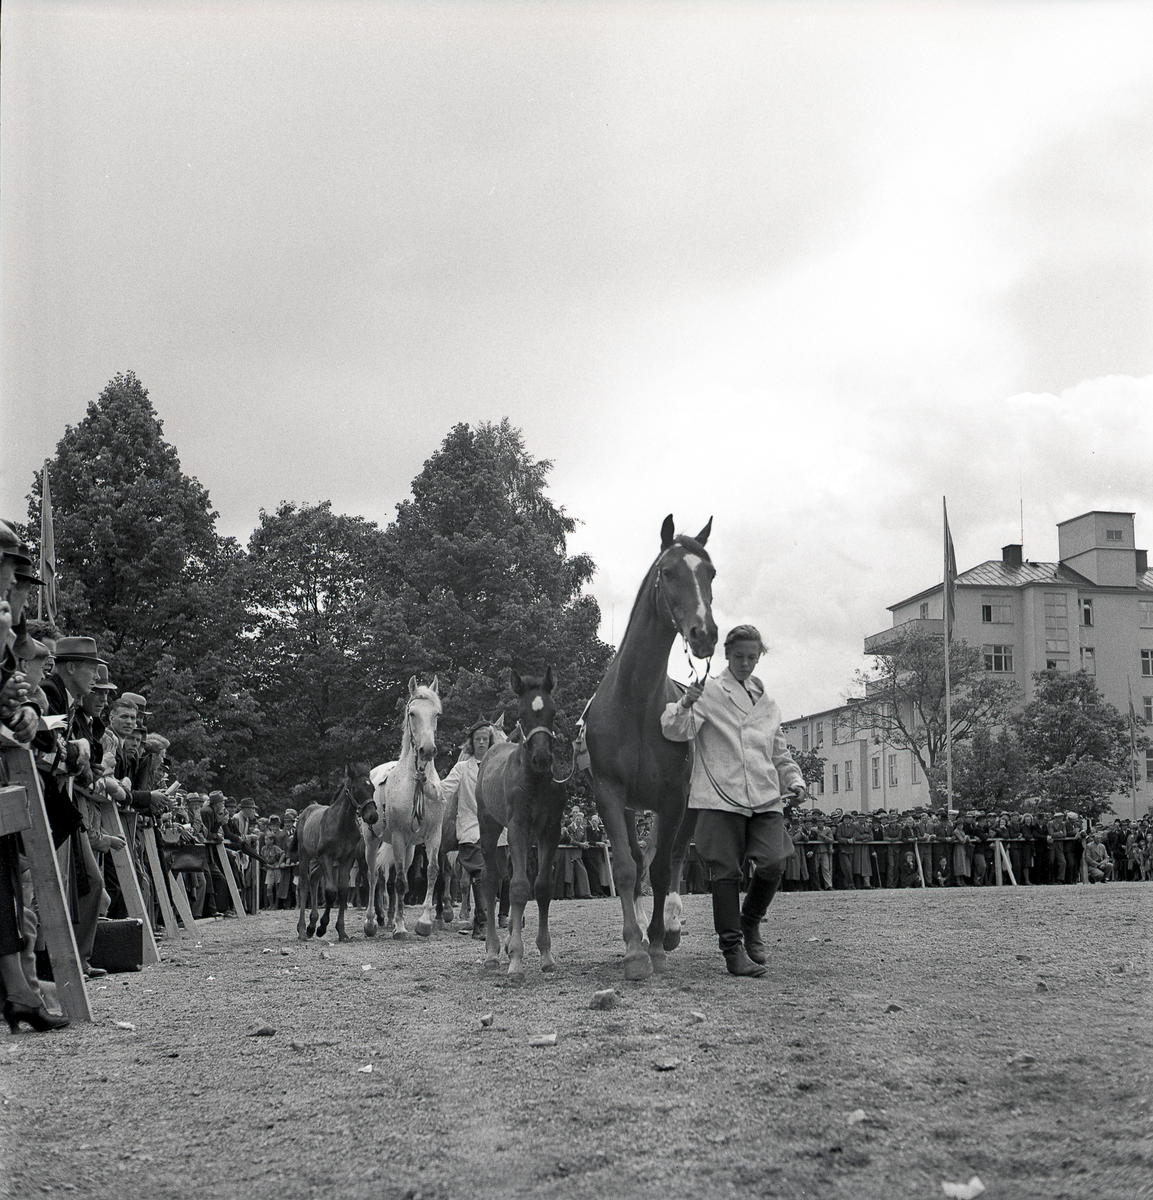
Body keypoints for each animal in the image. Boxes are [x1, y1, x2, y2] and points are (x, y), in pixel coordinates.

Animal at [294, 762, 379, 942]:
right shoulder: (326, 857)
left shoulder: (347, 859)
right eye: (357, 789)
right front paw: (322, 927)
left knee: (314, 878)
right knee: (304, 884)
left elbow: (343, 891)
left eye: (373, 788)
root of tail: (305, 812)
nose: (373, 816)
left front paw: (341, 931)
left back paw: (311, 925)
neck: (343, 825)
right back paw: (303, 929)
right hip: (305, 854)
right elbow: (331, 891)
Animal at [363, 676, 444, 939]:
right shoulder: (398, 837)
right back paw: (371, 922)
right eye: (412, 713)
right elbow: (399, 882)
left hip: (409, 848)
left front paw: (424, 922)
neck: (416, 784)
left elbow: (432, 872)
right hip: (372, 841)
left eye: (436, 714)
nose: (427, 750)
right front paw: (399, 927)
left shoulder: (433, 835)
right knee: (372, 876)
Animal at [476, 668, 567, 982]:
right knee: (491, 880)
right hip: (489, 828)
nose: (542, 758)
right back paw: (492, 952)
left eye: (553, 712)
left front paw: (546, 956)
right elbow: (517, 887)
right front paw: (516, 960)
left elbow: (540, 887)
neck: (535, 779)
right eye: (523, 713)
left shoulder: (550, 831)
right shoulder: (516, 827)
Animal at [583, 514, 718, 980]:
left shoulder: (674, 797)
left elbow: (662, 868)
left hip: (688, 805)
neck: (638, 702)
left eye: (710, 572)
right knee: (646, 857)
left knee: (674, 857)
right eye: (669, 571)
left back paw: (670, 927)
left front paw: (657, 944)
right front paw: (635, 946)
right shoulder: (610, 793)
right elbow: (628, 866)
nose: (704, 633)